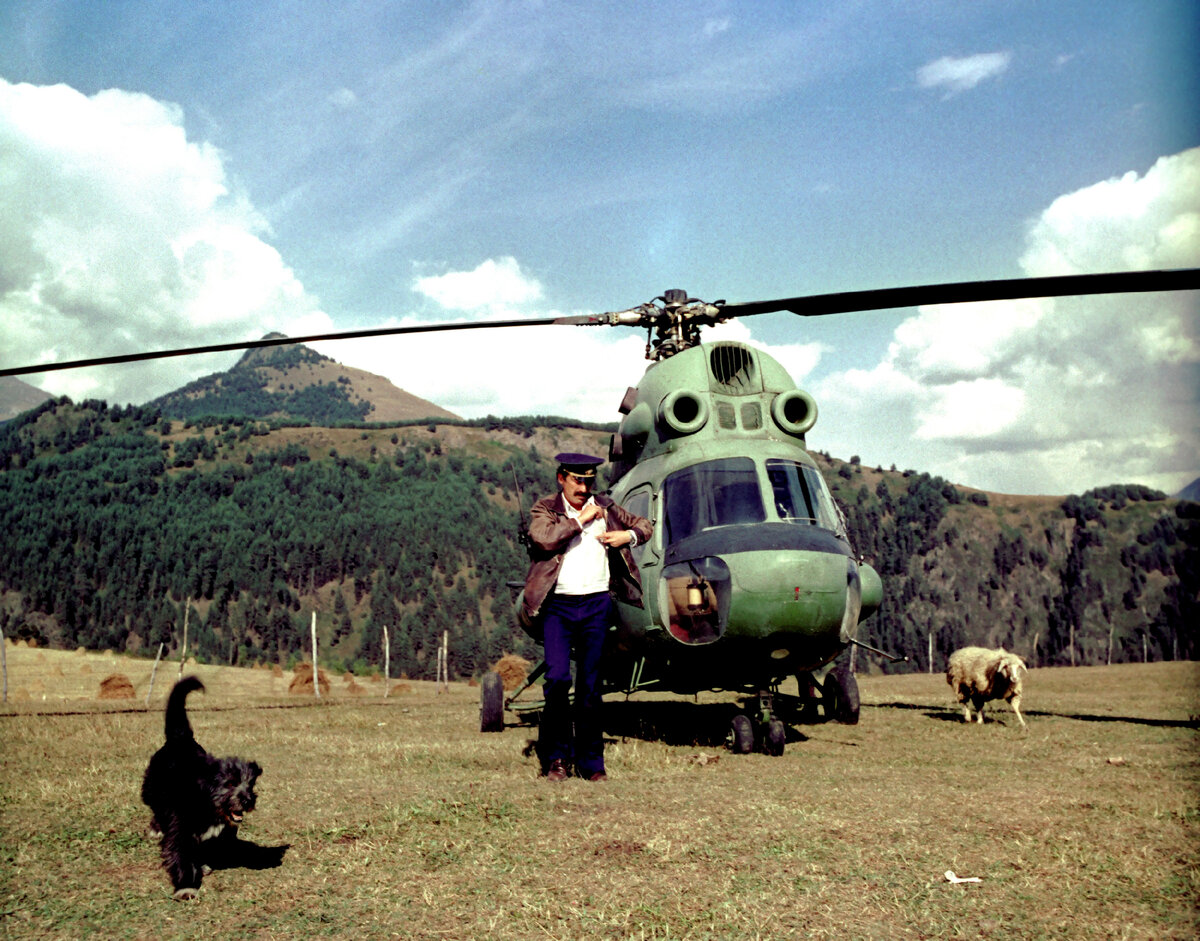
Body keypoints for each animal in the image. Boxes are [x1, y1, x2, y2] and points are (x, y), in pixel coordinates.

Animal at [141, 676, 286, 897]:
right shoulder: (180, 830)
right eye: (231, 783)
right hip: (151, 790)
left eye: (251, 784)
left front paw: (200, 866)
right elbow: (181, 855)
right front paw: (186, 885)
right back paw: (156, 828)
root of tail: (180, 738)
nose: (248, 800)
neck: (204, 799)